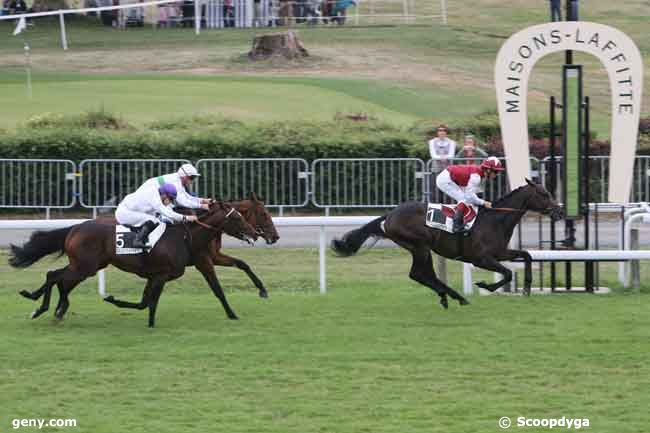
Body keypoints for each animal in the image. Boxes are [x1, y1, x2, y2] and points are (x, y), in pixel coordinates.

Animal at [10, 201, 256, 326]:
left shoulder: (158, 275)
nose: (254, 233)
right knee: (56, 277)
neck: (185, 237)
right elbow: (149, 303)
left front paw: (115, 300)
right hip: (84, 267)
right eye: (237, 217)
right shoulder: (162, 274)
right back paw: (44, 308)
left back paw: (50, 307)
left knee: (57, 278)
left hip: (88, 266)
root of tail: (75, 227)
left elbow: (145, 303)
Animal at [332, 178, 560, 308]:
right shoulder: (481, 258)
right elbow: (508, 273)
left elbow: (526, 255)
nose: (559, 210)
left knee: (425, 275)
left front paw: (527, 288)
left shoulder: (499, 252)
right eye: (544, 193)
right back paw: (456, 297)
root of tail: (389, 216)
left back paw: (449, 296)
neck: (495, 219)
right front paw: (484, 285)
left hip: (422, 249)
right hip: (420, 246)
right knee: (417, 274)